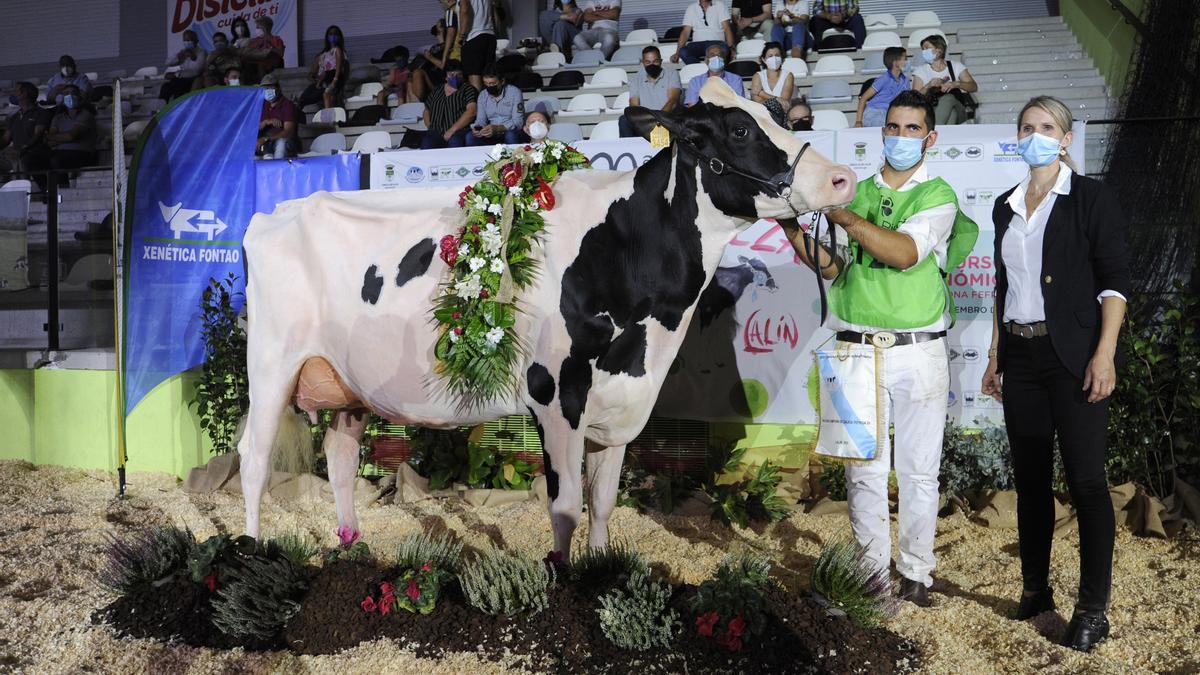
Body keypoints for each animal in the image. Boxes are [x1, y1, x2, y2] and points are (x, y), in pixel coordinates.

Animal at [238, 77, 854, 557]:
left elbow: (603, 504)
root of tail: (277, 211)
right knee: (254, 458)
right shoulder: (556, 393)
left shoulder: (622, 401)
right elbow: (565, 507)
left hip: (348, 384)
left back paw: (352, 547)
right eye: (740, 131)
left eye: (778, 115)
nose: (842, 178)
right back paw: (253, 551)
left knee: (340, 459)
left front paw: (603, 572)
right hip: (270, 365)